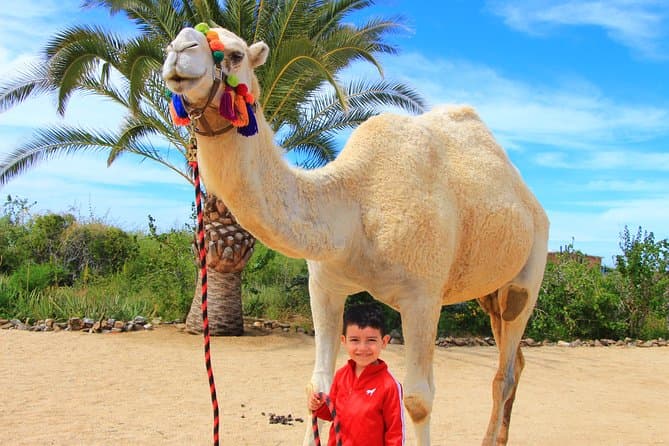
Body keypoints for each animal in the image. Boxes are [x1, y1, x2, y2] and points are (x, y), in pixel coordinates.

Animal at [162, 25, 549, 446]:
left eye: (233, 55)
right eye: (170, 44)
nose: (179, 52)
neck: (354, 203)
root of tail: (532, 202)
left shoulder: (423, 296)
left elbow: (418, 399)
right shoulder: (325, 284)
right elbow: (318, 387)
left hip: (528, 272)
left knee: (504, 370)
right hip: (488, 293)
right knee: (515, 361)